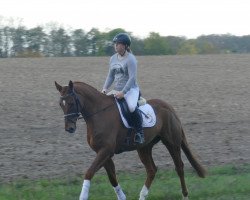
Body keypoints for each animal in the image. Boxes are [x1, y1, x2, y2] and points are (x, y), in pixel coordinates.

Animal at [54, 80, 205, 200]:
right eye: (61, 104)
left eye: (71, 103)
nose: (69, 128)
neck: (99, 114)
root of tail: (169, 107)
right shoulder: (103, 153)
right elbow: (112, 177)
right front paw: (122, 197)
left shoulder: (105, 151)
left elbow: (89, 173)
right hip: (144, 147)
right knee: (152, 170)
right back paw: (142, 196)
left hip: (171, 143)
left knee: (179, 167)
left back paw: (185, 196)